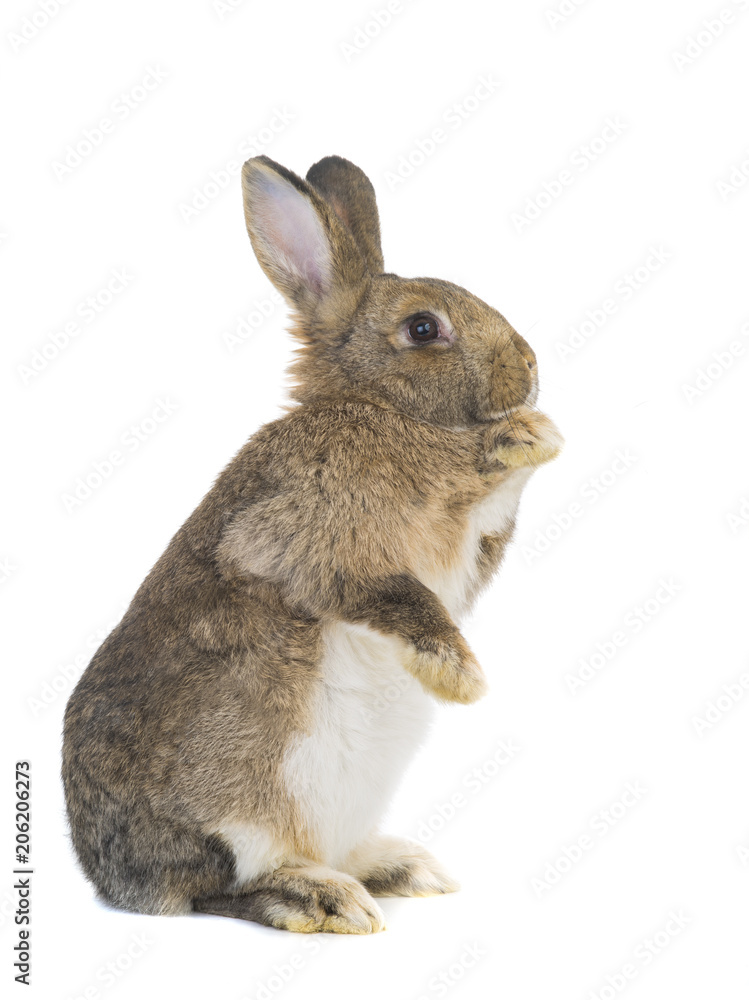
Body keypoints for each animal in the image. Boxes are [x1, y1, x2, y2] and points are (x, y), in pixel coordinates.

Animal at [62, 153, 563, 935]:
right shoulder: (310, 539)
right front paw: (462, 679)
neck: (381, 408)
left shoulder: (468, 552)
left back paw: (402, 869)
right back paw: (322, 897)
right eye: (423, 328)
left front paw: (533, 434)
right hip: (238, 809)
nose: (531, 368)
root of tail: (113, 877)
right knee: (220, 886)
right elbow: (400, 599)